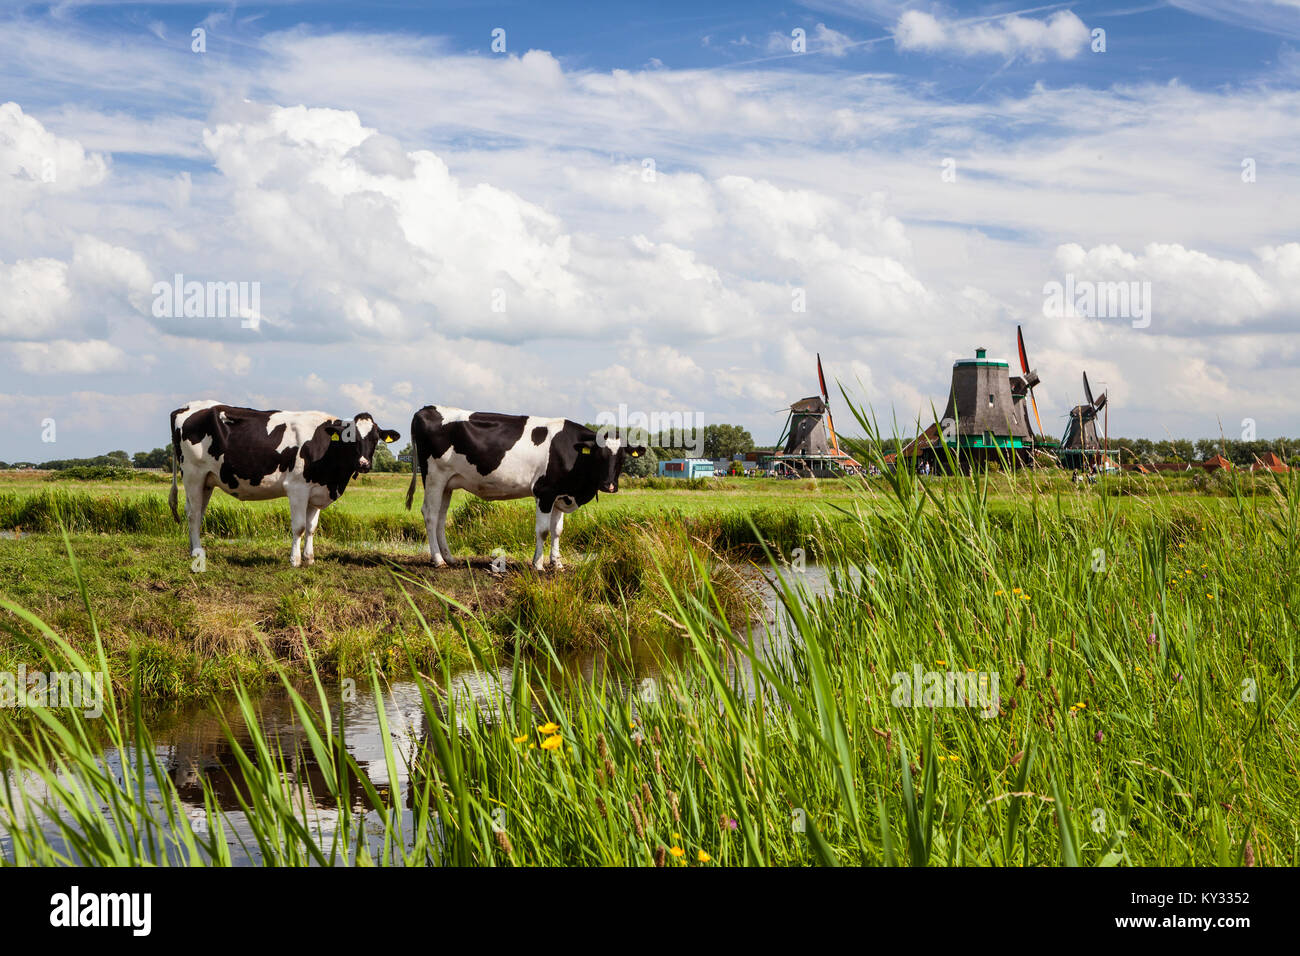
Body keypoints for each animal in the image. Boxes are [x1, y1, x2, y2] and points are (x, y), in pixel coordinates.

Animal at [170, 398, 397, 564]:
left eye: (375, 439)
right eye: (351, 439)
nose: (363, 463)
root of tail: (186, 407)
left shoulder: (316, 491)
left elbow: (312, 527)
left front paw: (309, 558)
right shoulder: (297, 489)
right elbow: (299, 526)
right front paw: (294, 560)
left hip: (207, 480)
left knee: (197, 512)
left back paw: (193, 549)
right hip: (193, 474)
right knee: (193, 514)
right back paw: (197, 552)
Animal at [405, 403, 644, 567]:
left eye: (622, 457)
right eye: (599, 455)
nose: (609, 485)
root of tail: (427, 409)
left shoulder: (560, 494)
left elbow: (557, 530)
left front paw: (557, 563)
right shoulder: (544, 492)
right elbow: (543, 531)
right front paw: (538, 564)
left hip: (447, 483)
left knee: (441, 517)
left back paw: (449, 558)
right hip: (434, 476)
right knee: (430, 514)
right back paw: (438, 560)